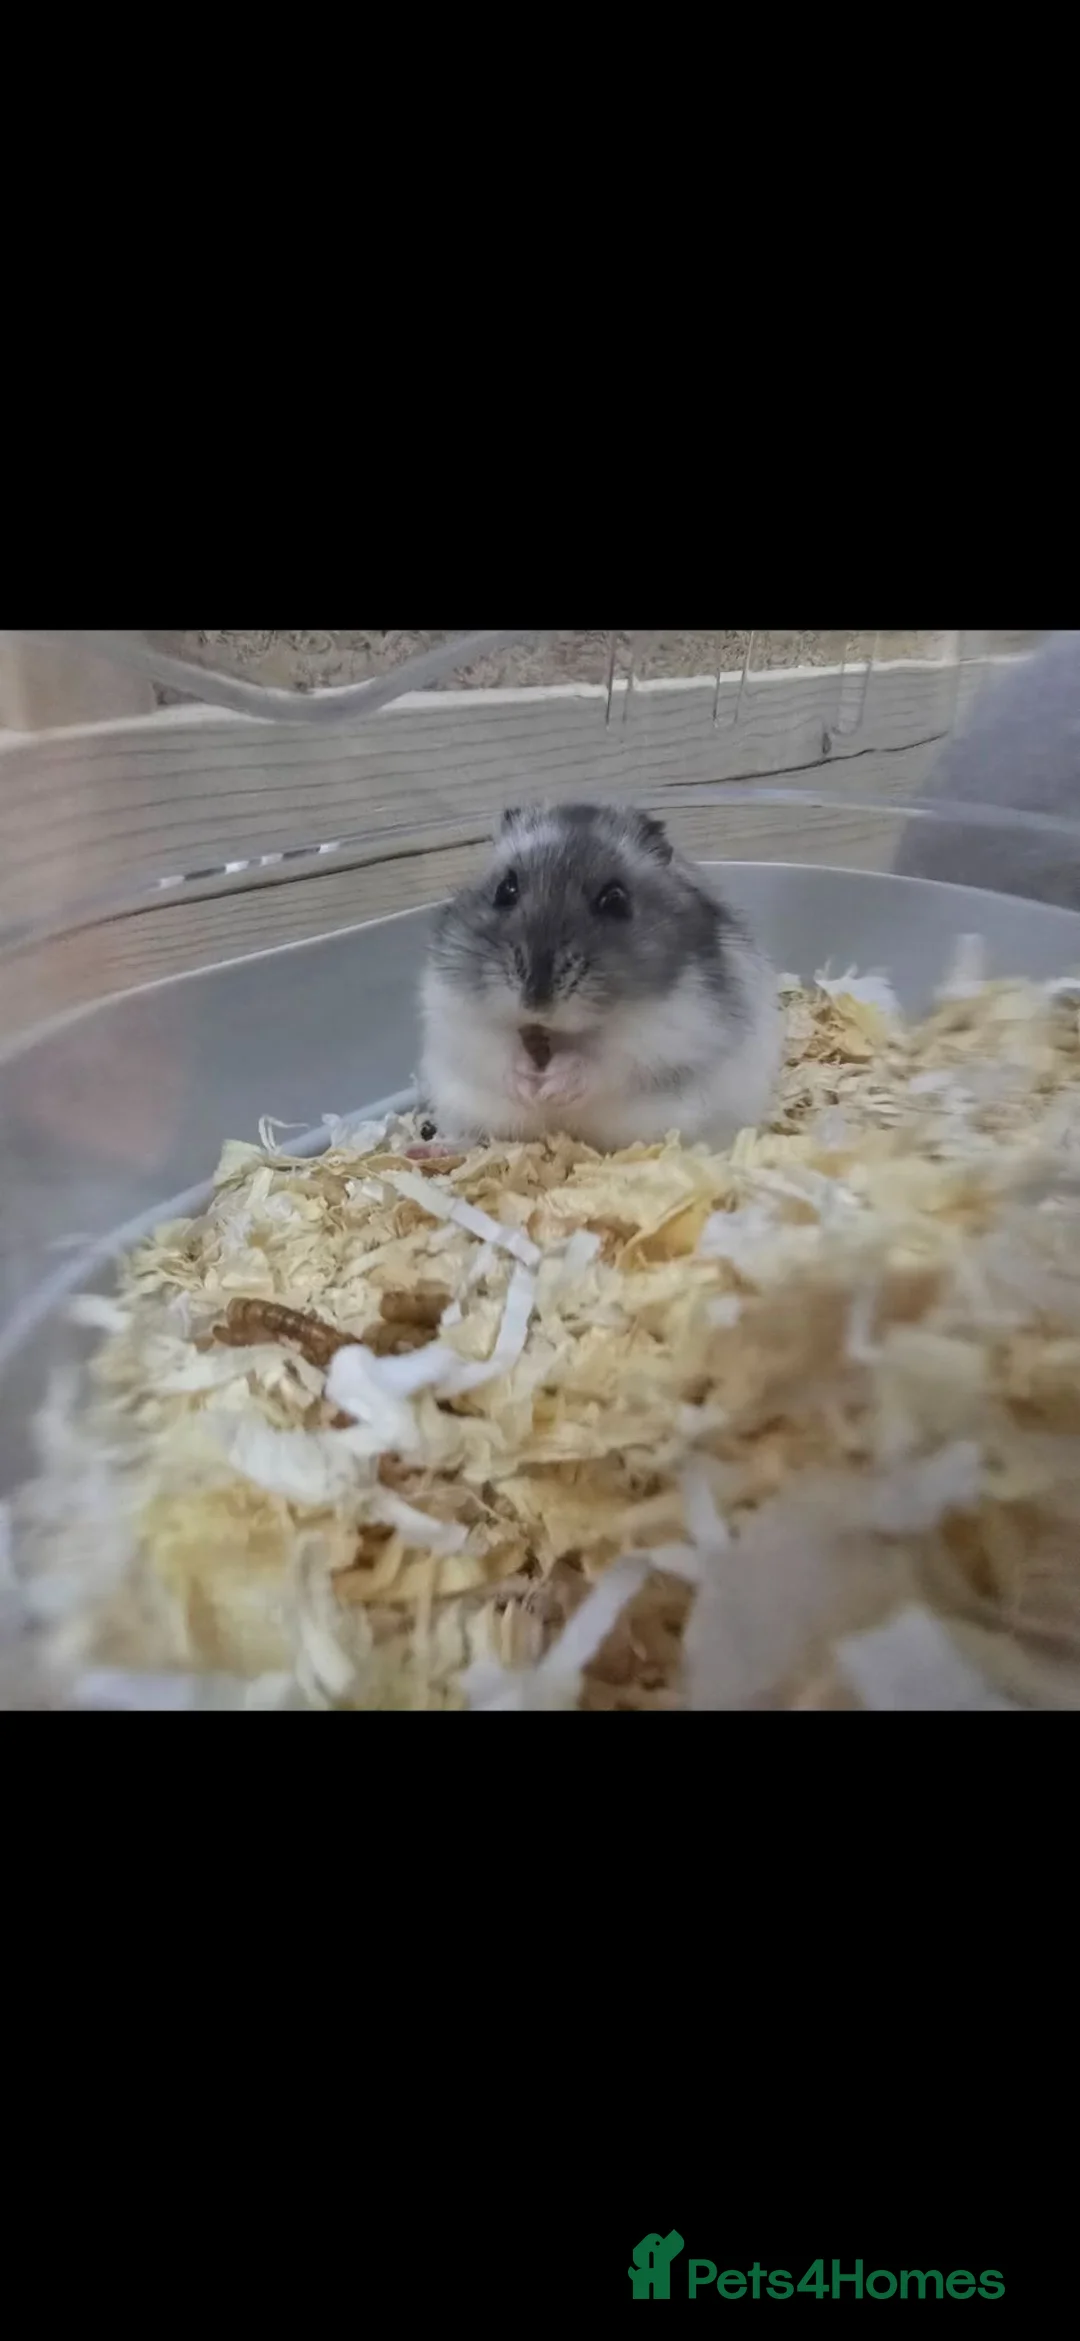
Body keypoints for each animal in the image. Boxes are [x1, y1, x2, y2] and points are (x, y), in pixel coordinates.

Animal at [419, 801, 783, 1152]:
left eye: (614, 899)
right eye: (505, 890)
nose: (536, 1000)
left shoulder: (668, 1031)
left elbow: (606, 1061)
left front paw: (551, 1086)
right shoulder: (455, 1012)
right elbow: (493, 1047)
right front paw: (529, 1086)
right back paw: (430, 1151)